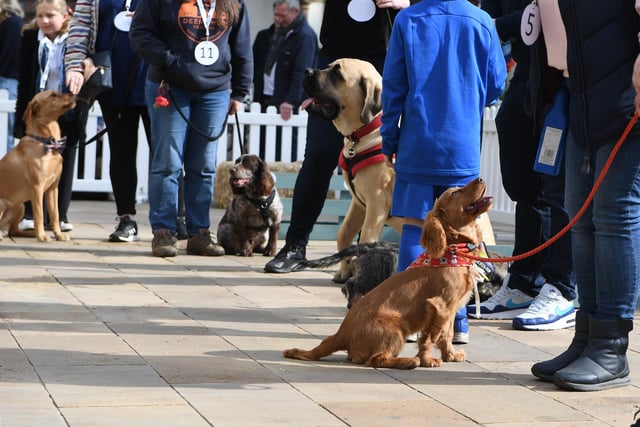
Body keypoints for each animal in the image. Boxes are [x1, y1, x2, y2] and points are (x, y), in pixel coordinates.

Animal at [0, 90, 75, 242]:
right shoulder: (37, 188)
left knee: (13, 231)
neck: (48, 143)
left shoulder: (53, 188)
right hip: (2, 204)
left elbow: (55, 215)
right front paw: (42, 236)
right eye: (52, 95)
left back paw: (30, 234)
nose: (72, 92)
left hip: (19, 206)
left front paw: (58, 235)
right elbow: (39, 215)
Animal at [284, 179, 496, 370]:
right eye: (454, 193)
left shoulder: (450, 309)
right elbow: (430, 337)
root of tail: (341, 334)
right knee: (376, 359)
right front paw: (428, 360)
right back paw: (408, 362)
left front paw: (451, 355)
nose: (480, 178)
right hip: (395, 327)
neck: (451, 251)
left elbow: (446, 334)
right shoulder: (440, 305)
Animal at [302, 57, 402, 284]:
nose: (306, 71)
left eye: (337, 74)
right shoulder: (358, 202)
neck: (363, 132)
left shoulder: (376, 203)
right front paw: (344, 271)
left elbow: (365, 238)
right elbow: (344, 234)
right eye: (328, 66)